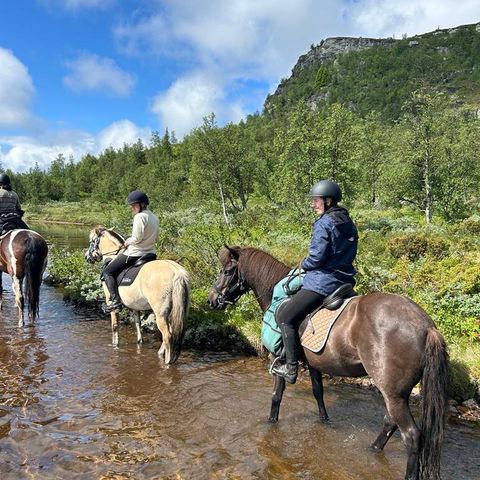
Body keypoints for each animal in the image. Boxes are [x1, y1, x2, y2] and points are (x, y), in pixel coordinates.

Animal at [85, 226, 190, 364]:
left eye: (92, 241)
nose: (86, 257)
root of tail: (177, 271)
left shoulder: (110, 301)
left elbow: (115, 326)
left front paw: (115, 345)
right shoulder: (134, 305)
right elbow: (137, 324)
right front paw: (139, 342)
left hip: (160, 312)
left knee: (167, 334)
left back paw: (166, 361)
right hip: (175, 309)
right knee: (172, 330)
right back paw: (161, 352)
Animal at [208, 246, 448, 480]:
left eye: (227, 271)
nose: (212, 300)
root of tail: (426, 326)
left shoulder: (278, 360)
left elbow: (276, 396)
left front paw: (270, 422)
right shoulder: (315, 364)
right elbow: (318, 394)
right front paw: (324, 422)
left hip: (393, 393)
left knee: (411, 436)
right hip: (397, 393)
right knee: (390, 422)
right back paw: (371, 449)